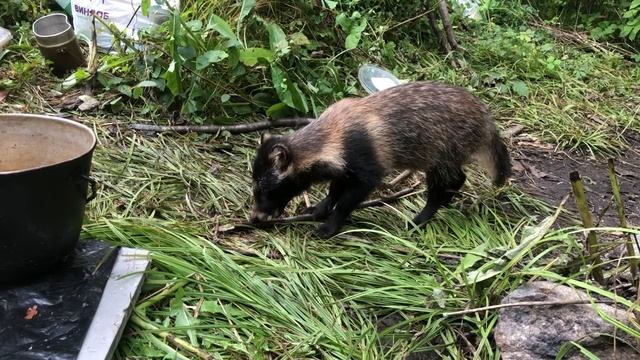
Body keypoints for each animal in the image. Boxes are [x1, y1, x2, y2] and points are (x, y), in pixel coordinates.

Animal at [249, 82, 510, 239]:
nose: (254, 219)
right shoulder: (344, 163)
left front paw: (333, 221)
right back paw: (449, 194)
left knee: (440, 181)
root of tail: (486, 119)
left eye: (265, 188)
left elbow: (353, 194)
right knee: (457, 175)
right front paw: (323, 205)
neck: (328, 136)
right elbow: (337, 185)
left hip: (442, 146)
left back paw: (425, 213)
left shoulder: (364, 156)